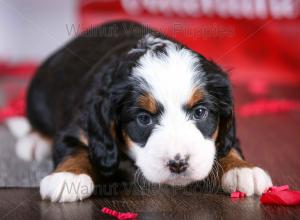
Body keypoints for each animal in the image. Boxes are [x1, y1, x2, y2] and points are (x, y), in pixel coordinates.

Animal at [21, 21, 272, 203]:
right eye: (144, 119)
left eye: (200, 112)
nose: (178, 164)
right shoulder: (80, 126)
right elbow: (73, 149)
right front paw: (67, 176)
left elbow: (228, 145)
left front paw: (242, 169)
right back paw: (34, 142)